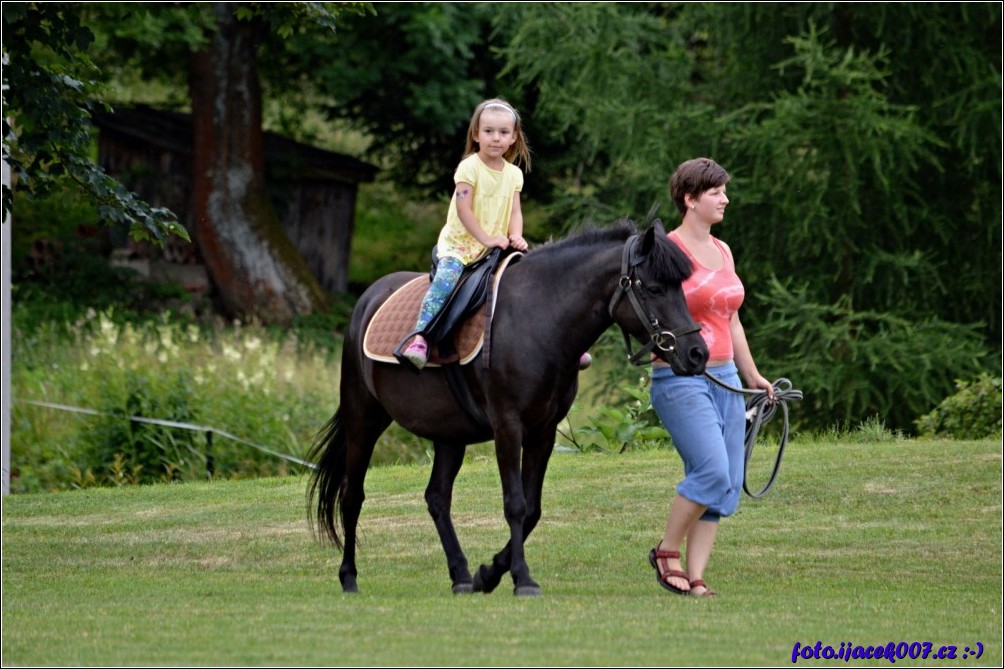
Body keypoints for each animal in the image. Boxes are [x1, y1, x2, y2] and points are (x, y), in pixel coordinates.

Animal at [305, 218, 706, 594]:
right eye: (654, 289)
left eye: (681, 289)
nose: (697, 353)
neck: (538, 320)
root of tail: (368, 298)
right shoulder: (507, 426)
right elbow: (515, 503)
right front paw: (522, 578)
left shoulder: (544, 431)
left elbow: (532, 508)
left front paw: (489, 573)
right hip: (363, 418)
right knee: (352, 495)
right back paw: (349, 577)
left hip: (449, 434)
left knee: (437, 497)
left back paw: (462, 576)